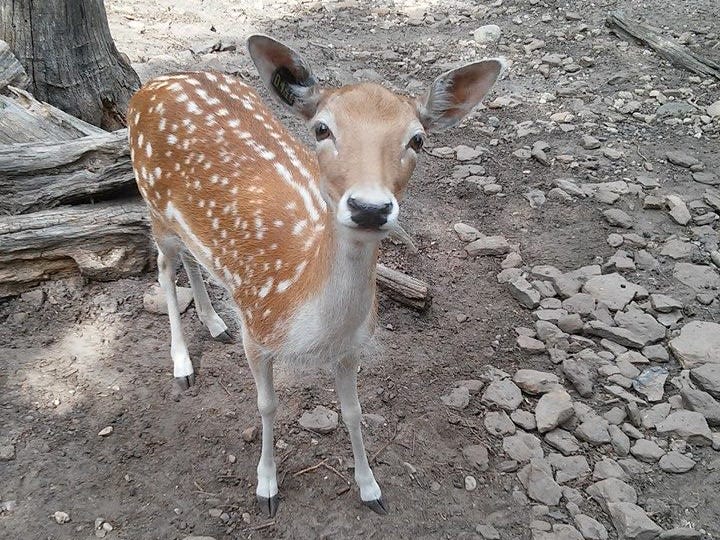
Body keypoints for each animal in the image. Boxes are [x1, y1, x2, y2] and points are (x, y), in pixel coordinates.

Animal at [128, 34, 504, 517]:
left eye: (418, 138)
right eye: (322, 129)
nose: (369, 208)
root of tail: (153, 83)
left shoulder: (351, 347)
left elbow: (354, 412)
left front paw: (370, 488)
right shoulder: (257, 328)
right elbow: (267, 405)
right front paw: (266, 485)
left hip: (183, 225)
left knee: (194, 260)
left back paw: (215, 324)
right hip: (151, 199)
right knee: (162, 266)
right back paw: (182, 364)